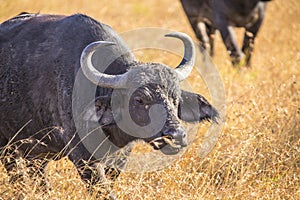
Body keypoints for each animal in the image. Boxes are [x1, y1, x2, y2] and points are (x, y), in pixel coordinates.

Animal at [0, 12, 219, 184]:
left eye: (175, 99)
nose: (176, 136)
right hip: (9, 149)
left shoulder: (120, 157)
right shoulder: (83, 157)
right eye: (140, 100)